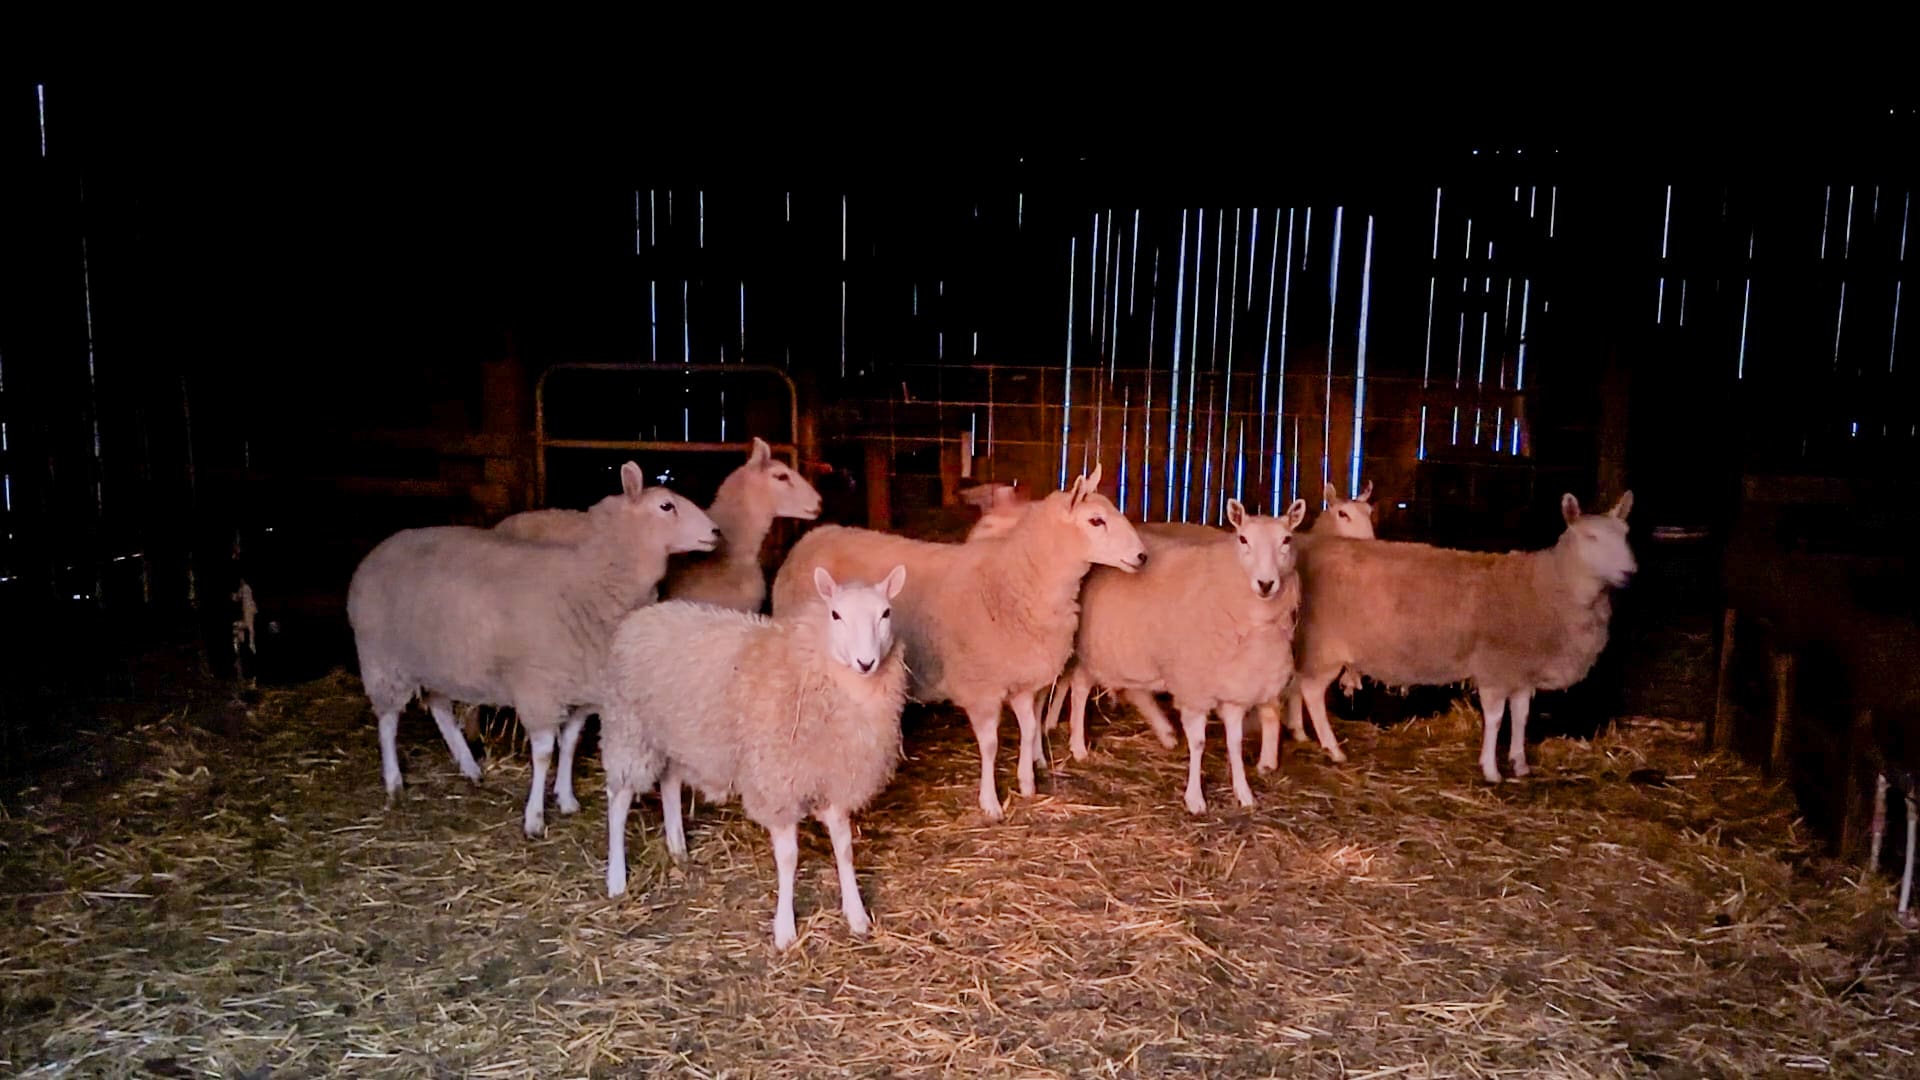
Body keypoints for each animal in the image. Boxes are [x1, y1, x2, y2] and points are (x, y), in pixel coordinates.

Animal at [346, 462, 720, 836]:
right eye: (666, 506)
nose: (716, 531)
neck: (591, 578)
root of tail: (378, 550)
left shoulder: (583, 686)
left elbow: (569, 743)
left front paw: (566, 799)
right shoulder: (539, 687)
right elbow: (543, 753)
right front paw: (535, 818)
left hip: (438, 660)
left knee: (439, 706)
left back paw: (469, 767)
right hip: (383, 659)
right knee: (388, 720)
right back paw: (394, 782)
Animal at [601, 566, 911, 950]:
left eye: (886, 613)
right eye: (836, 614)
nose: (866, 663)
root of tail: (642, 615)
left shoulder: (832, 779)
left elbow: (844, 847)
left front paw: (856, 915)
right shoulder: (776, 784)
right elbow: (789, 858)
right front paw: (785, 929)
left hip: (678, 736)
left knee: (670, 783)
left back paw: (677, 848)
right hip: (629, 729)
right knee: (618, 798)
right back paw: (616, 877)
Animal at [769, 466, 1148, 820]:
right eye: (1096, 520)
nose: (1142, 556)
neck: (1015, 581)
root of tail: (812, 537)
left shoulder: (1022, 681)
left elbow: (1028, 730)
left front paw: (1027, 784)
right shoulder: (981, 687)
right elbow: (991, 745)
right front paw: (990, 803)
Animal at [1056, 498, 1307, 812]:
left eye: (1287, 539)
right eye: (1243, 539)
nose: (1265, 584)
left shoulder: (1233, 686)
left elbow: (1234, 742)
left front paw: (1243, 792)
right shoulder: (1194, 687)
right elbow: (1198, 743)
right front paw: (1195, 798)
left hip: (1131, 649)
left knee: (1133, 689)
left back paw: (1165, 733)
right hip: (1096, 648)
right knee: (1080, 688)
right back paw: (1079, 746)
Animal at [1294, 491, 1636, 782]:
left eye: (1625, 534)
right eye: (1591, 537)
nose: (1630, 572)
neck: (1551, 585)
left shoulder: (1521, 669)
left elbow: (1521, 716)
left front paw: (1520, 764)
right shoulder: (1495, 666)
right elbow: (1495, 718)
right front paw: (1491, 770)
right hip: (1324, 644)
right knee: (1310, 691)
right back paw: (1333, 749)